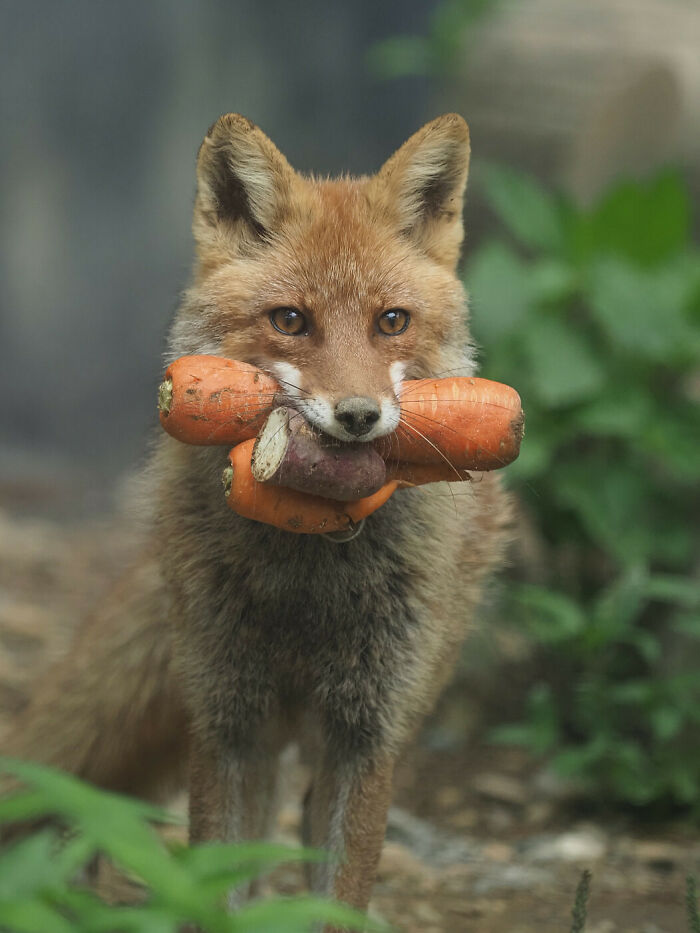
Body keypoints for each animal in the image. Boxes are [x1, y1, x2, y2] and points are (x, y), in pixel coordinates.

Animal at [2, 113, 511, 927]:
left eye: (391, 321)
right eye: (292, 320)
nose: (359, 417)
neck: (309, 565)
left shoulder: (366, 734)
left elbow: (337, 895)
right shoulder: (229, 721)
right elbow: (214, 887)